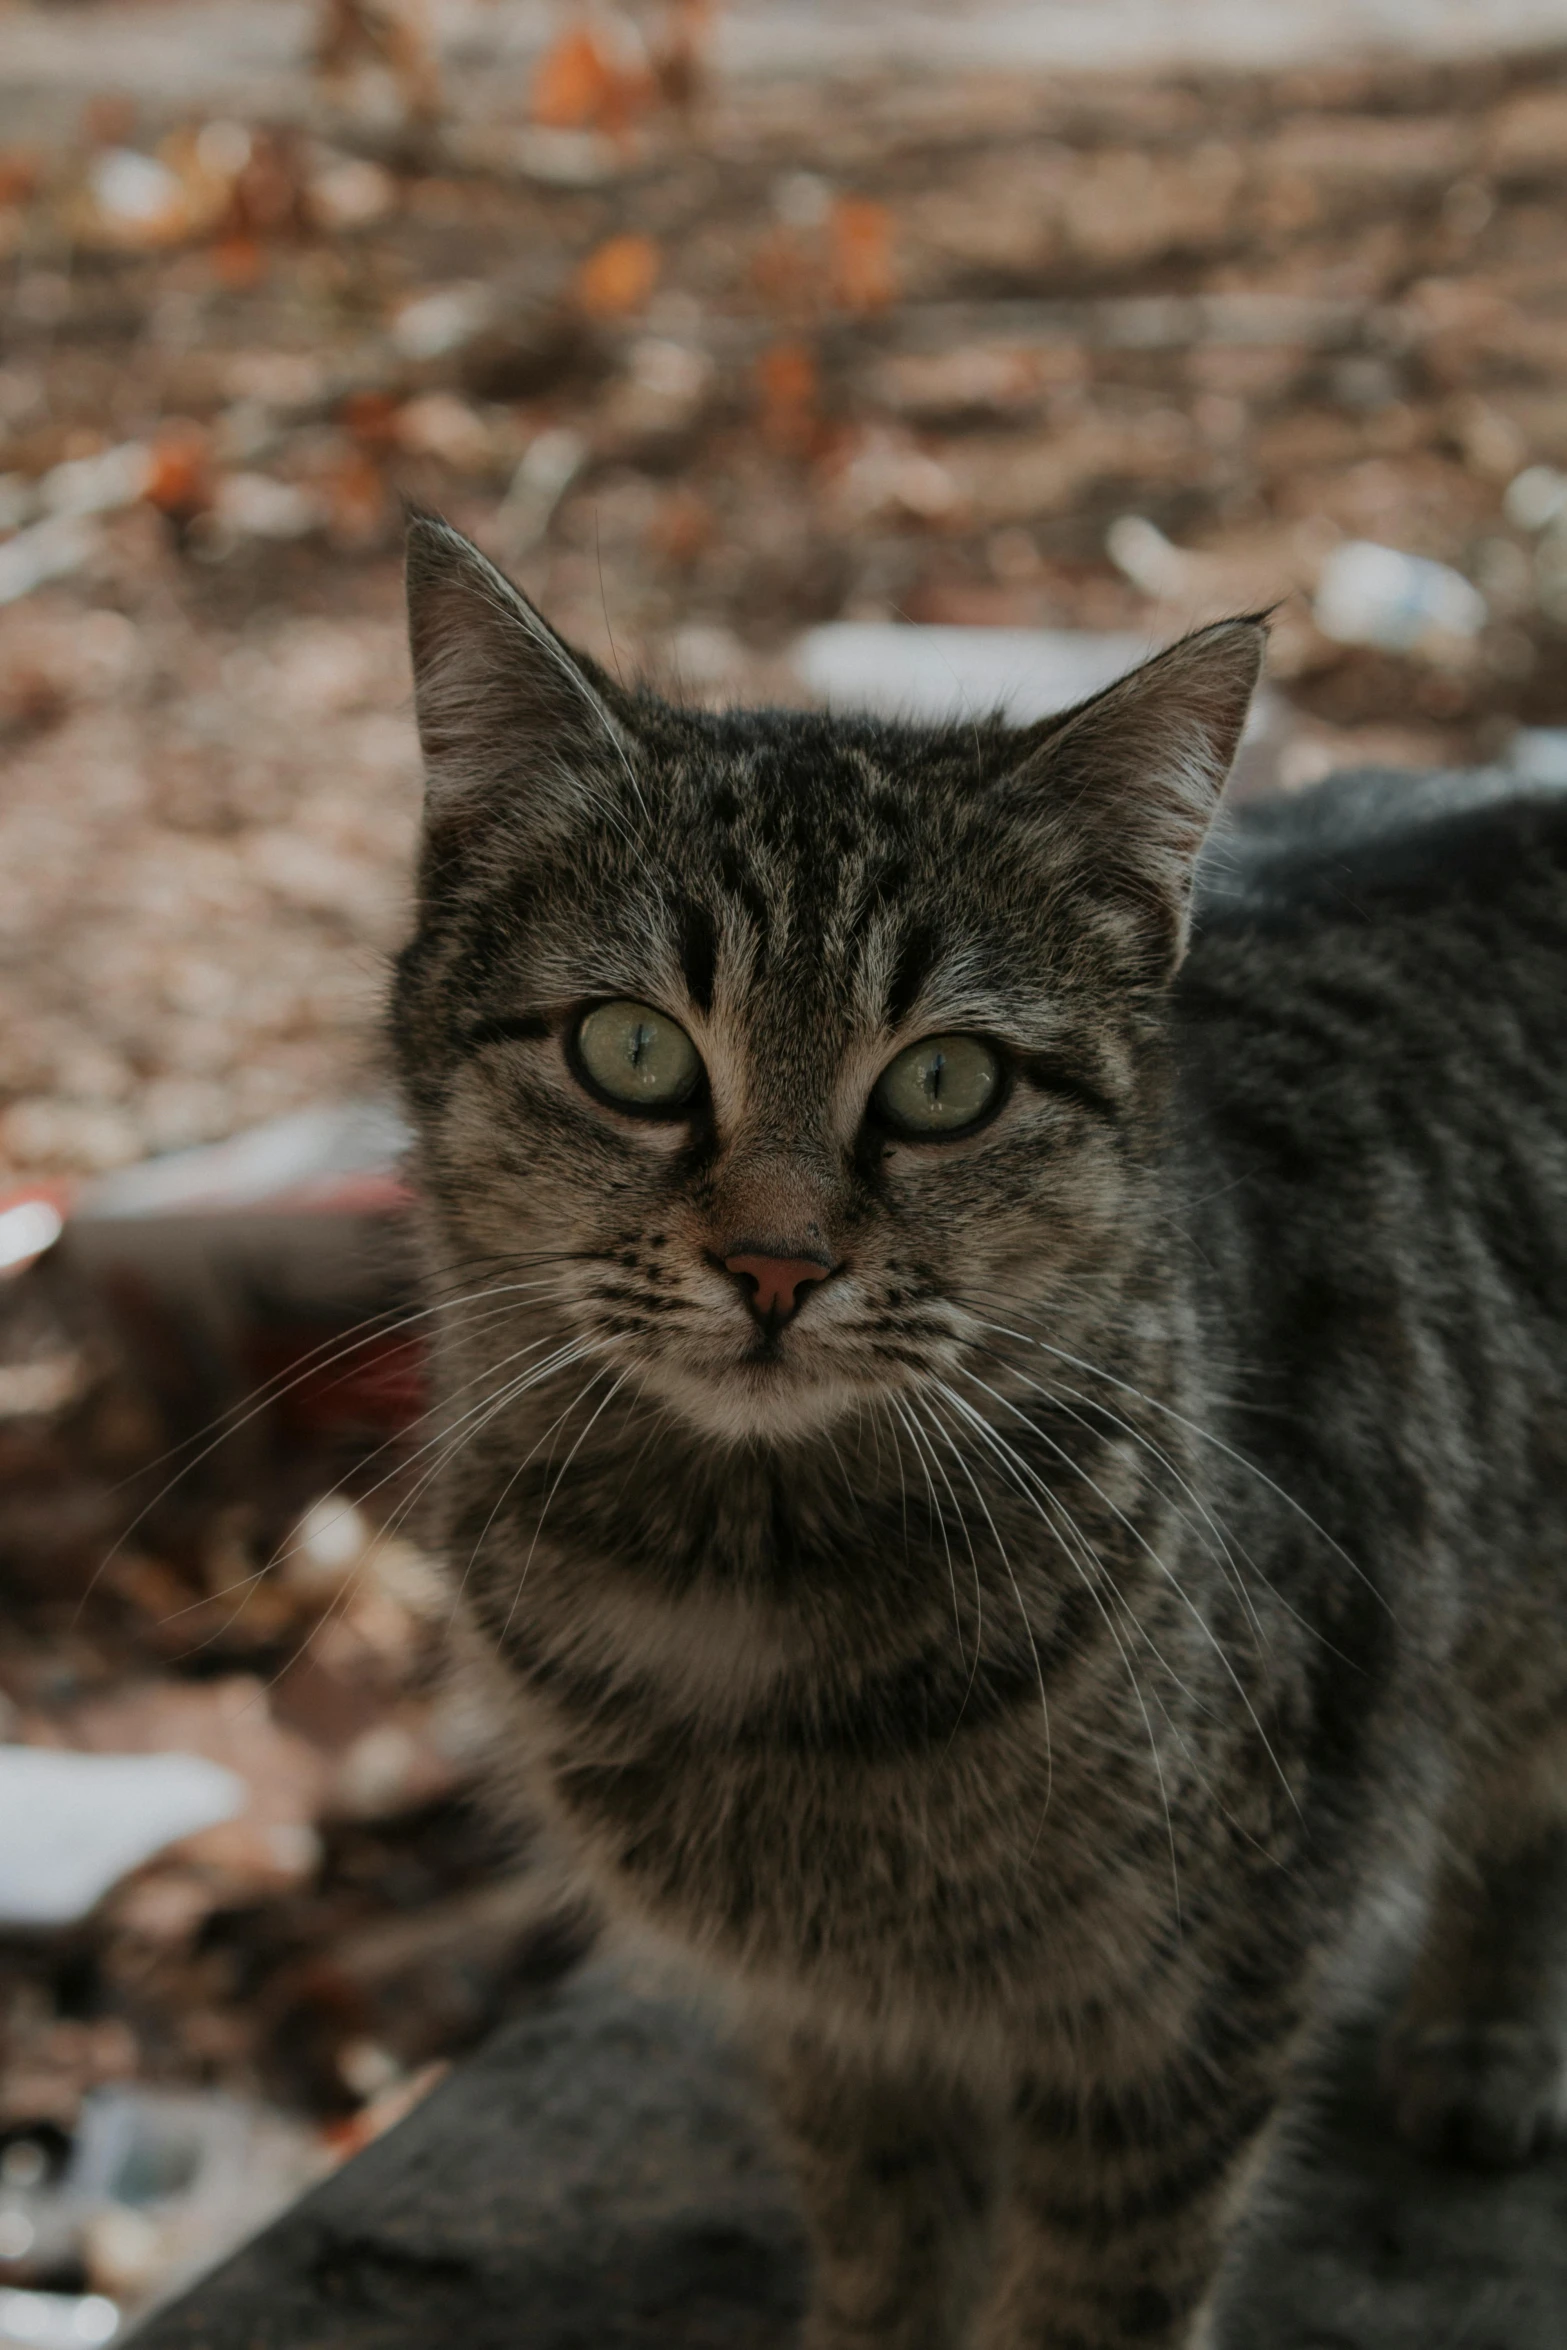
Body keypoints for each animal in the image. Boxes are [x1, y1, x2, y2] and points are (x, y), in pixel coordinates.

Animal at [394, 519, 1567, 2350]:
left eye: (943, 1083)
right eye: (632, 1048)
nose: (775, 1262)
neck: (746, 1599)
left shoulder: (1196, 1992)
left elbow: (1096, 2289)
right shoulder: (835, 2018)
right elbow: (882, 2232)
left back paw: (1484, 2031)